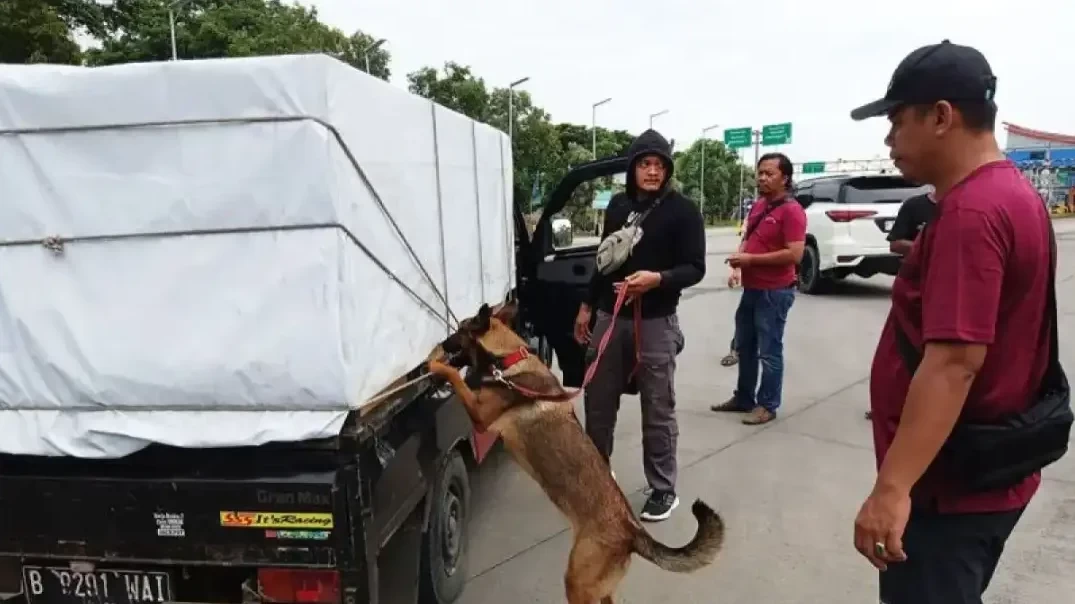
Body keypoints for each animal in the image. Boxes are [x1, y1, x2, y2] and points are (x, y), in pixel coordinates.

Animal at [425, 300, 722, 601]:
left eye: (460, 330)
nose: (441, 343)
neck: (507, 359)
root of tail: (631, 531)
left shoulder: (479, 416)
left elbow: (456, 378)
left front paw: (434, 363)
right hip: (599, 585)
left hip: (577, 580)